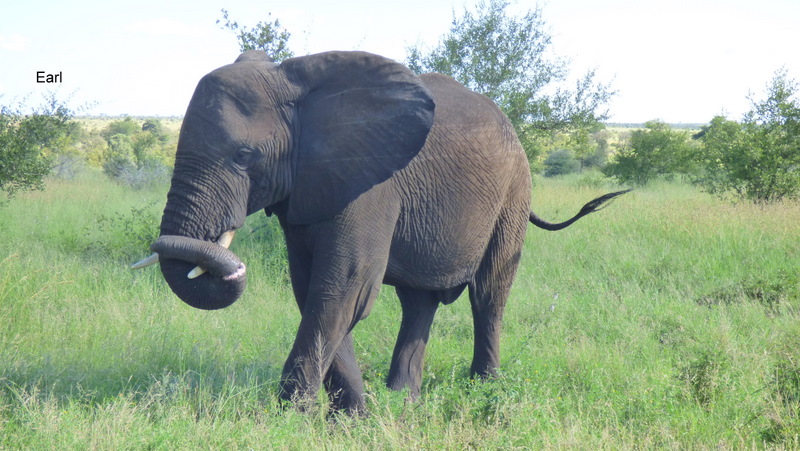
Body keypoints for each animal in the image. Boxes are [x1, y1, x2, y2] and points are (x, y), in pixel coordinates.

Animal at [133, 50, 628, 414]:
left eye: (243, 156)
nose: (232, 268)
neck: (297, 84)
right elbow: (315, 289)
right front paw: (352, 416)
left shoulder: (370, 184)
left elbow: (345, 286)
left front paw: (289, 417)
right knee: (419, 301)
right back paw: (402, 400)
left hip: (513, 192)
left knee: (489, 293)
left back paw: (483, 392)